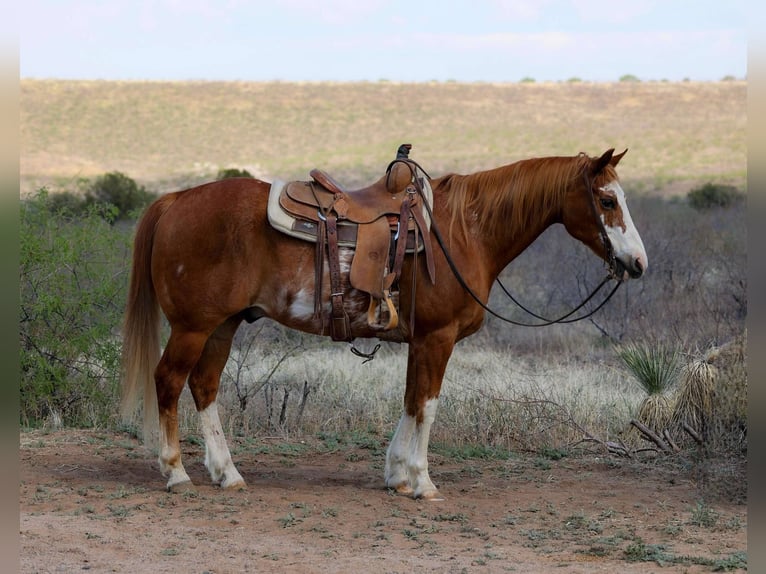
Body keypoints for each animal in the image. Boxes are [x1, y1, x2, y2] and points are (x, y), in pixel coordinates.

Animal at [120, 148, 647, 500]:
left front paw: (396, 475)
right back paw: (176, 472)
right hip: (193, 327)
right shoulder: (438, 338)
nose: (638, 263)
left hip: (223, 325)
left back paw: (226, 473)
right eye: (606, 201)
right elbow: (427, 406)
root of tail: (174, 200)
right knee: (169, 382)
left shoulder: (421, 340)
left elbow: (411, 401)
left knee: (204, 387)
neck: (464, 232)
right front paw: (422, 481)